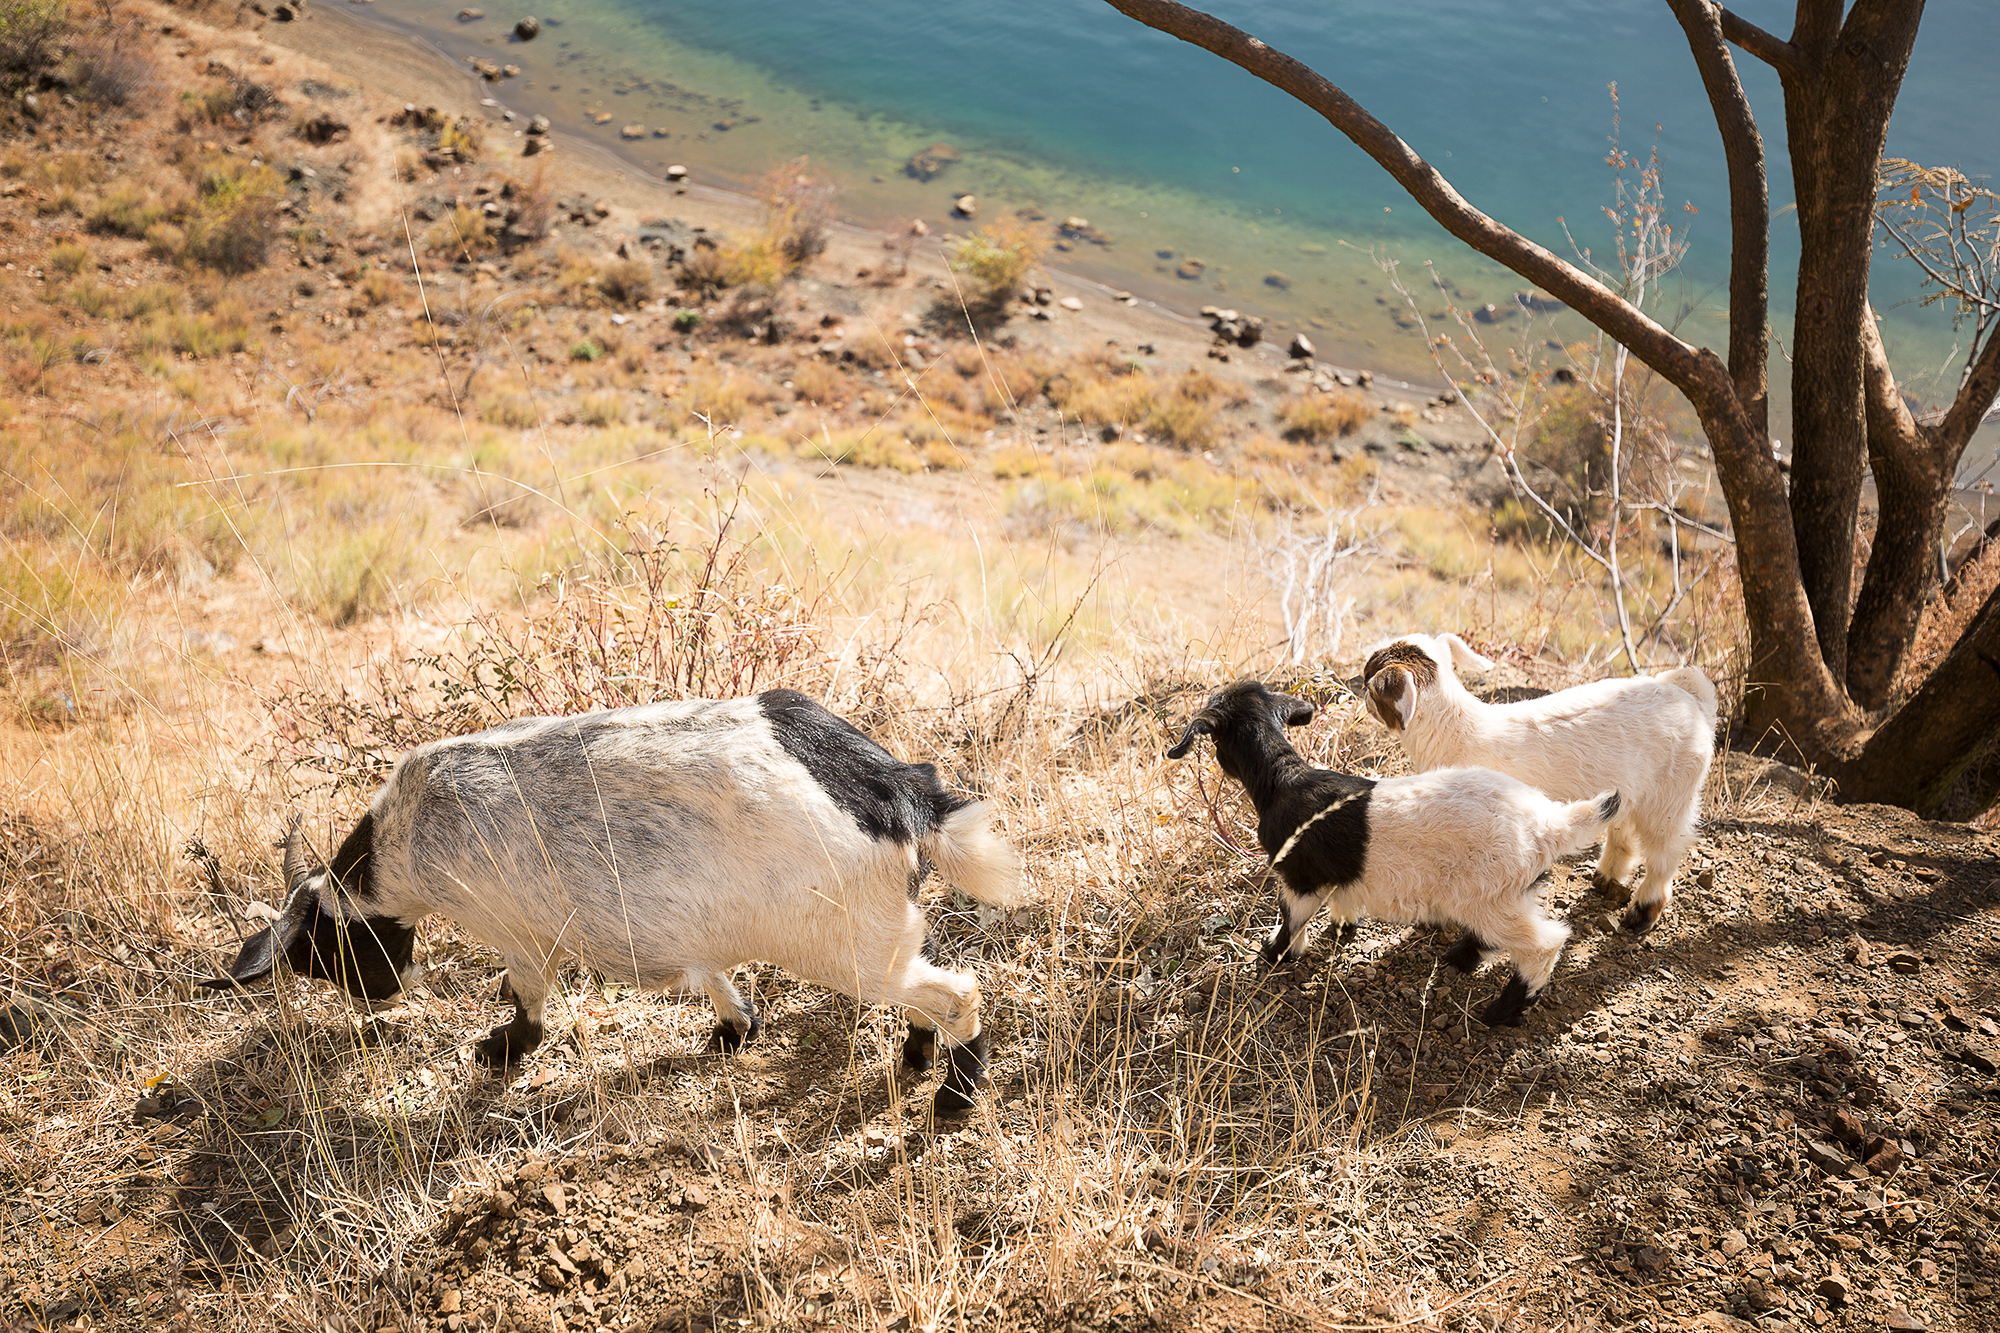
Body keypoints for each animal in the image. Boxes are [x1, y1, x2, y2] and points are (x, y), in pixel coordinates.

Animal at [203, 684, 1024, 1112]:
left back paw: (957, 1089)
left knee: (956, 989)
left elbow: (528, 997)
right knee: (926, 971)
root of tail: (896, 787)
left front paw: (502, 1048)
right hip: (880, 926)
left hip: (845, 943)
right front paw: (736, 1028)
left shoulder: (517, 930)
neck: (412, 832)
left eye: (324, 947)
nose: (382, 992)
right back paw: (919, 1051)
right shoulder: (688, 931)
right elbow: (713, 976)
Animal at [1368, 632, 1712, 924]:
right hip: (1632, 788)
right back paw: (1606, 879)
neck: (1456, 730)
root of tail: (1692, 696)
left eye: (1371, 677)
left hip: (1672, 795)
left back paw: (1642, 912)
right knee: (1623, 829)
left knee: (1664, 853)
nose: (1363, 692)